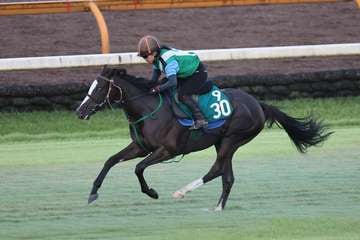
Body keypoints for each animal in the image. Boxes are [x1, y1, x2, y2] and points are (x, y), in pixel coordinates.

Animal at [76, 66, 332, 211]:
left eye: (99, 88)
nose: (80, 111)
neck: (148, 110)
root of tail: (258, 104)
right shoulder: (140, 146)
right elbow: (110, 160)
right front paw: (93, 193)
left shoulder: (167, 150)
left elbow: (138, 168)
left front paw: (152, 192)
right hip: (223, 142)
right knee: (227, 176)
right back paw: (218, 208)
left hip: (233, 139)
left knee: (217, 169)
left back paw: (182, 192)